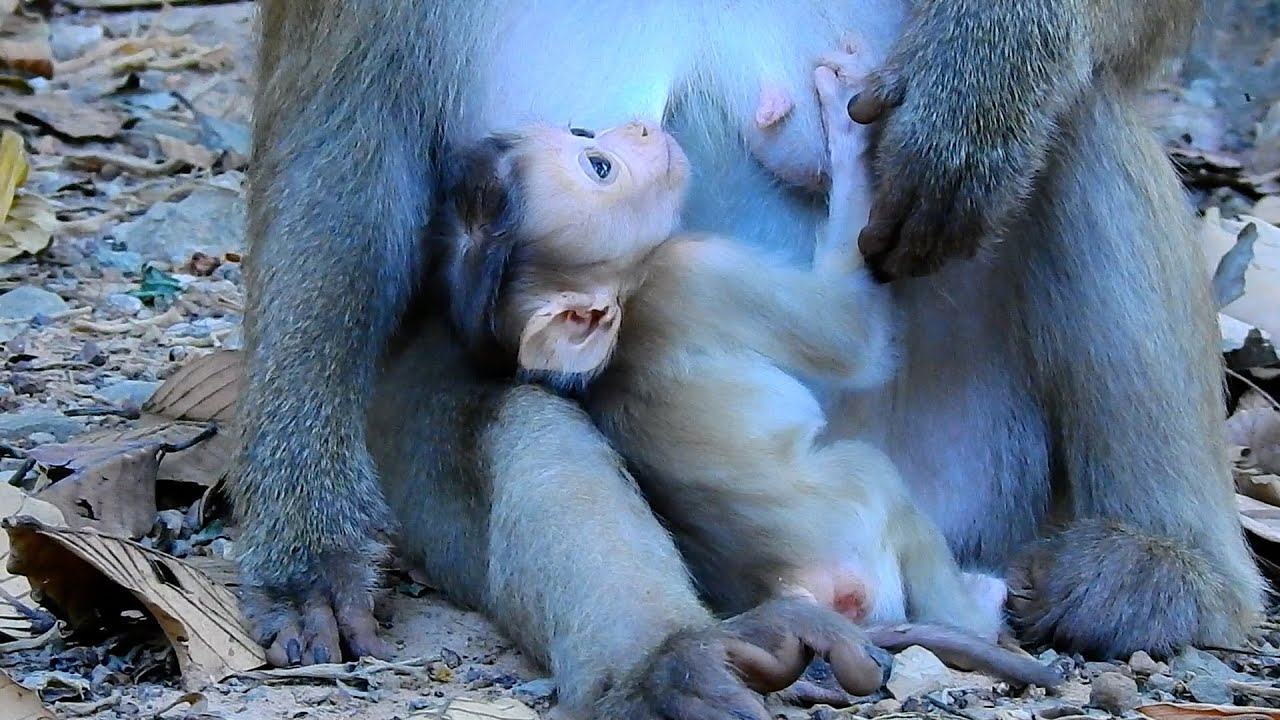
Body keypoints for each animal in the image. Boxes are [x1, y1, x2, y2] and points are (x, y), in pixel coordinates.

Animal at [232, 1, 1266, 718]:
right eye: (594, 163)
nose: (634, 138)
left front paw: (974, 88)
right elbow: (342, 149)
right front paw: (306, 544)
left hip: (1002, 473)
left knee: (1080, 118)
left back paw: (1165, 571)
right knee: (517, 423)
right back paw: (670, 664)